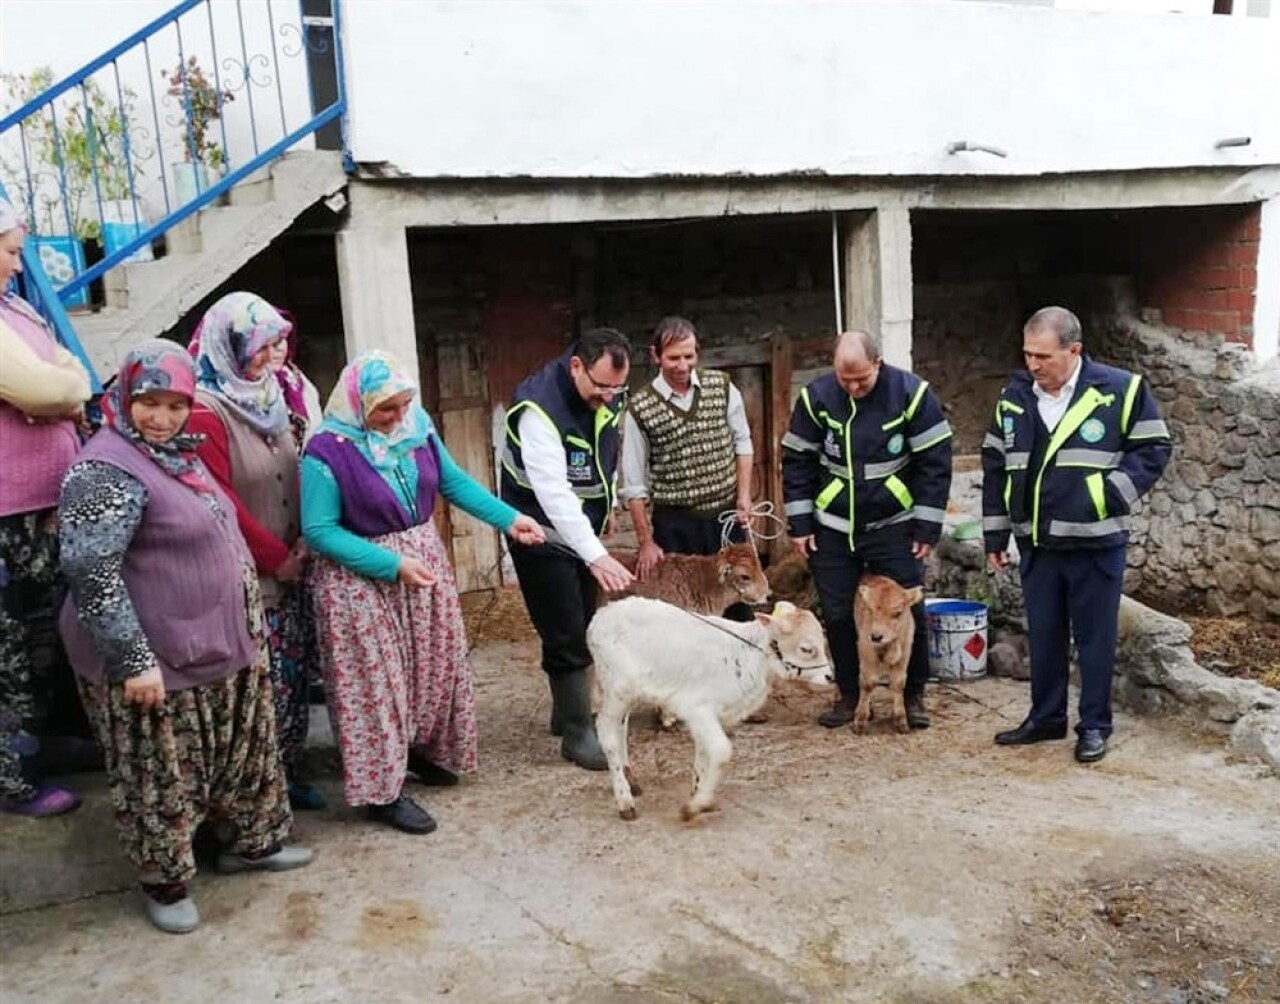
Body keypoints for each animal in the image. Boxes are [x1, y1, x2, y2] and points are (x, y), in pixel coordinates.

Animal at [586, 599, 834, 819]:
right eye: (806, 648)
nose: (830, 677)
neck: (749, 657)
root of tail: (602, 614)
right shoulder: (698, 708)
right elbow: (721, 750)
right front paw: (697, 805)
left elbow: (704, 752)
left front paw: (697, 791)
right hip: (615, 690)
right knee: (607, 734)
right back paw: (625, 801)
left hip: (628, 693)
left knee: (621, 728)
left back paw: (632, 780)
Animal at [855, 576, 926, 732]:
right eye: (869, 610)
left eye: (897, 613)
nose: (876, 637)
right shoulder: (866, 648)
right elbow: (868, 682)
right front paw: (860, 721)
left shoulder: (905, 651)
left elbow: (898, 683)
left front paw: (901, 721)